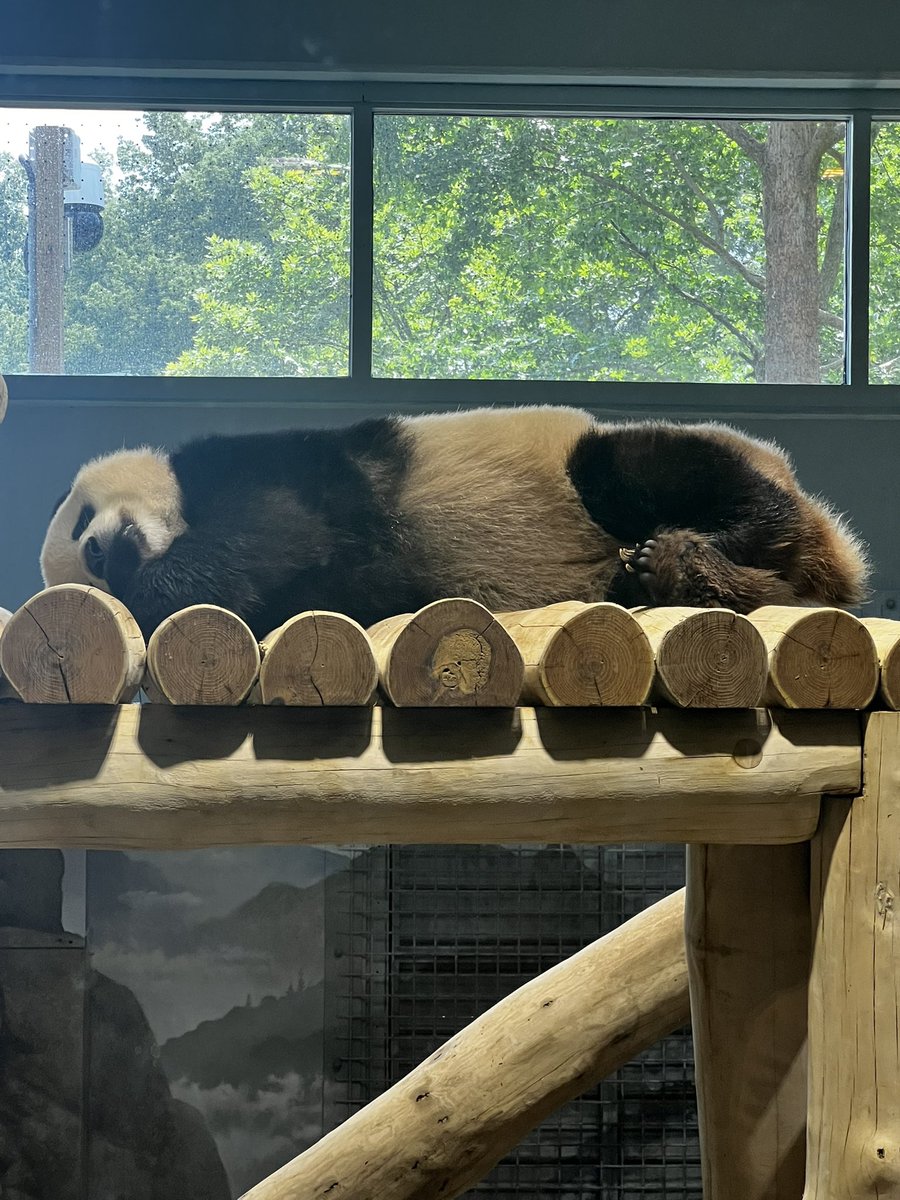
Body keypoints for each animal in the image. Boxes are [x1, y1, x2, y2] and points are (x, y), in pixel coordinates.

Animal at [40, 406, 869, 639]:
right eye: (85, 564)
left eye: (81, 523)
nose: (107, 552)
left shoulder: (275, 467)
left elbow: (276, 527)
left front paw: (158, 588)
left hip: (604, 463)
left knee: (635, 464)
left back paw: (688, 553)